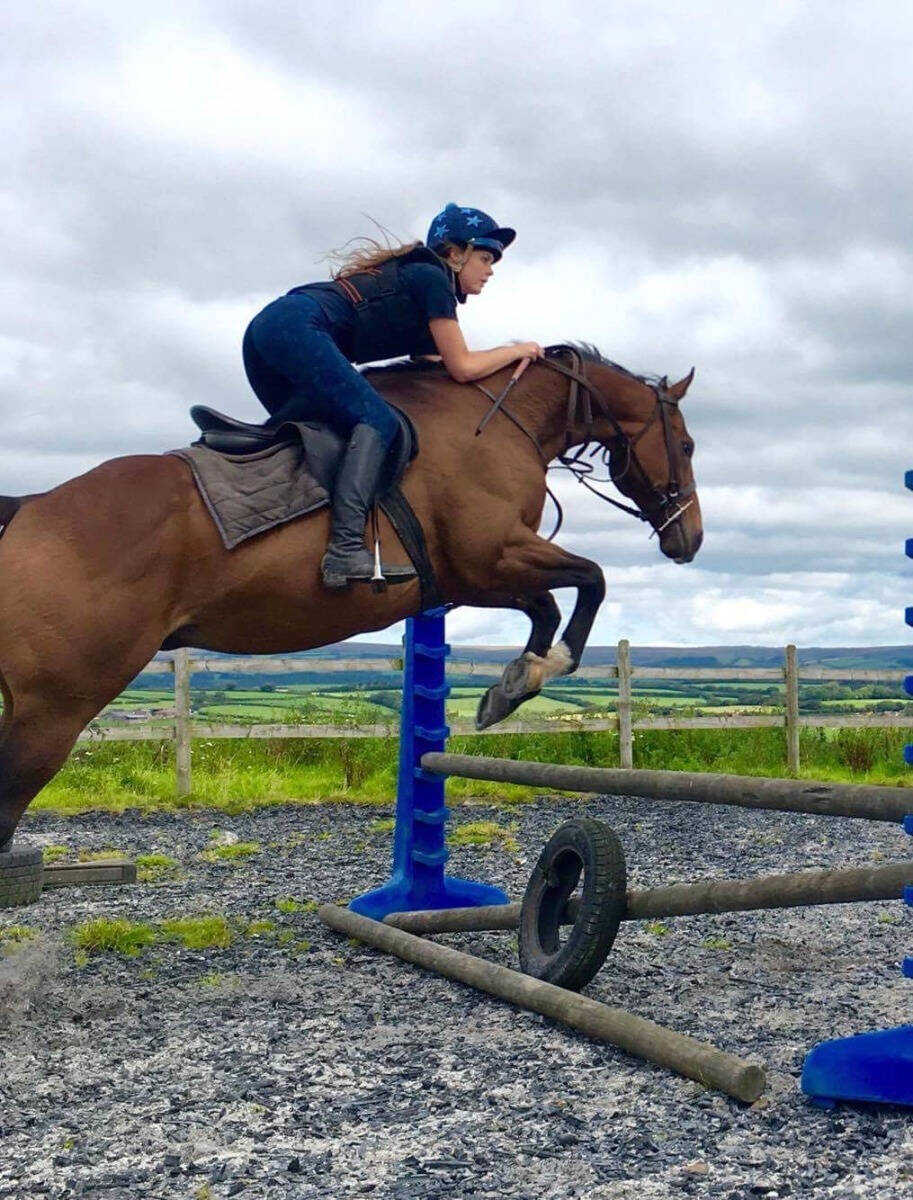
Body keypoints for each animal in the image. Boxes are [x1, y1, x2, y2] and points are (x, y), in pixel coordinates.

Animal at [0, 348, 700, 854]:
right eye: (688, 445)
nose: (689, 540)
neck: (501, 421)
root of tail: (29, 508)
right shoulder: (488, 557)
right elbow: (590, 580)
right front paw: (530, 675)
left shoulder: (477, 575)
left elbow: (550, 605)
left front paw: (508, 688)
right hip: (56, 705)